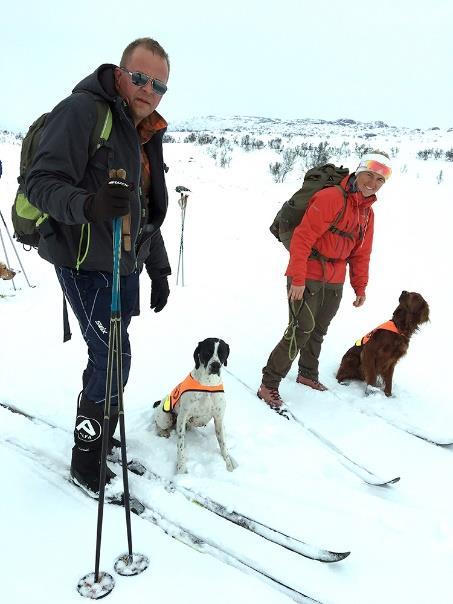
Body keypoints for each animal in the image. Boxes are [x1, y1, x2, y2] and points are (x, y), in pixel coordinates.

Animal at [152, 338, 237, 474]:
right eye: (207, 352)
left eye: (222, 353)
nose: (216, 365)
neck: (208, 385)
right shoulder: (182, 417)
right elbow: (181, 446)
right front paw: (181, 469)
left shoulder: (219, 419)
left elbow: (223, 445)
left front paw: (228, 465)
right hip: (165, 418)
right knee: (158, 424)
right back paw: (163, 432)